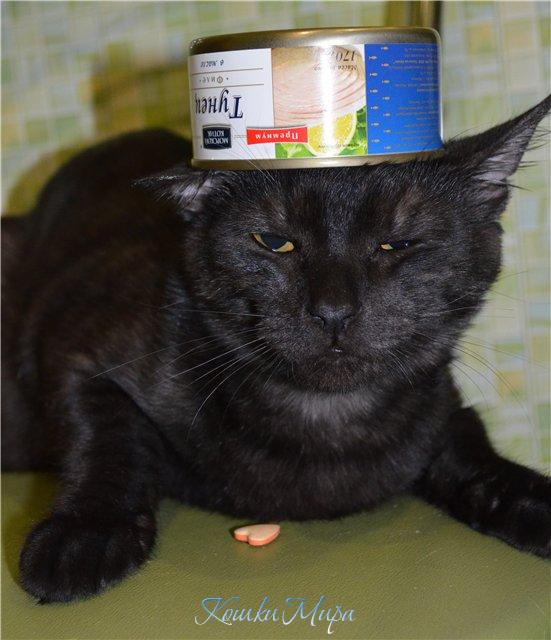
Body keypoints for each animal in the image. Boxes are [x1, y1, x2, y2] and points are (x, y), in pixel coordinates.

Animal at [2, 95, 550, 604]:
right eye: (273, 242)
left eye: (398, 244)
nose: (333, 310)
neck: (325, 420)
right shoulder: (77, 346)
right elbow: (104, 435)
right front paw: (83, 535)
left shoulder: (442, 404)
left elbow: (472, 448)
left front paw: (531, 499)